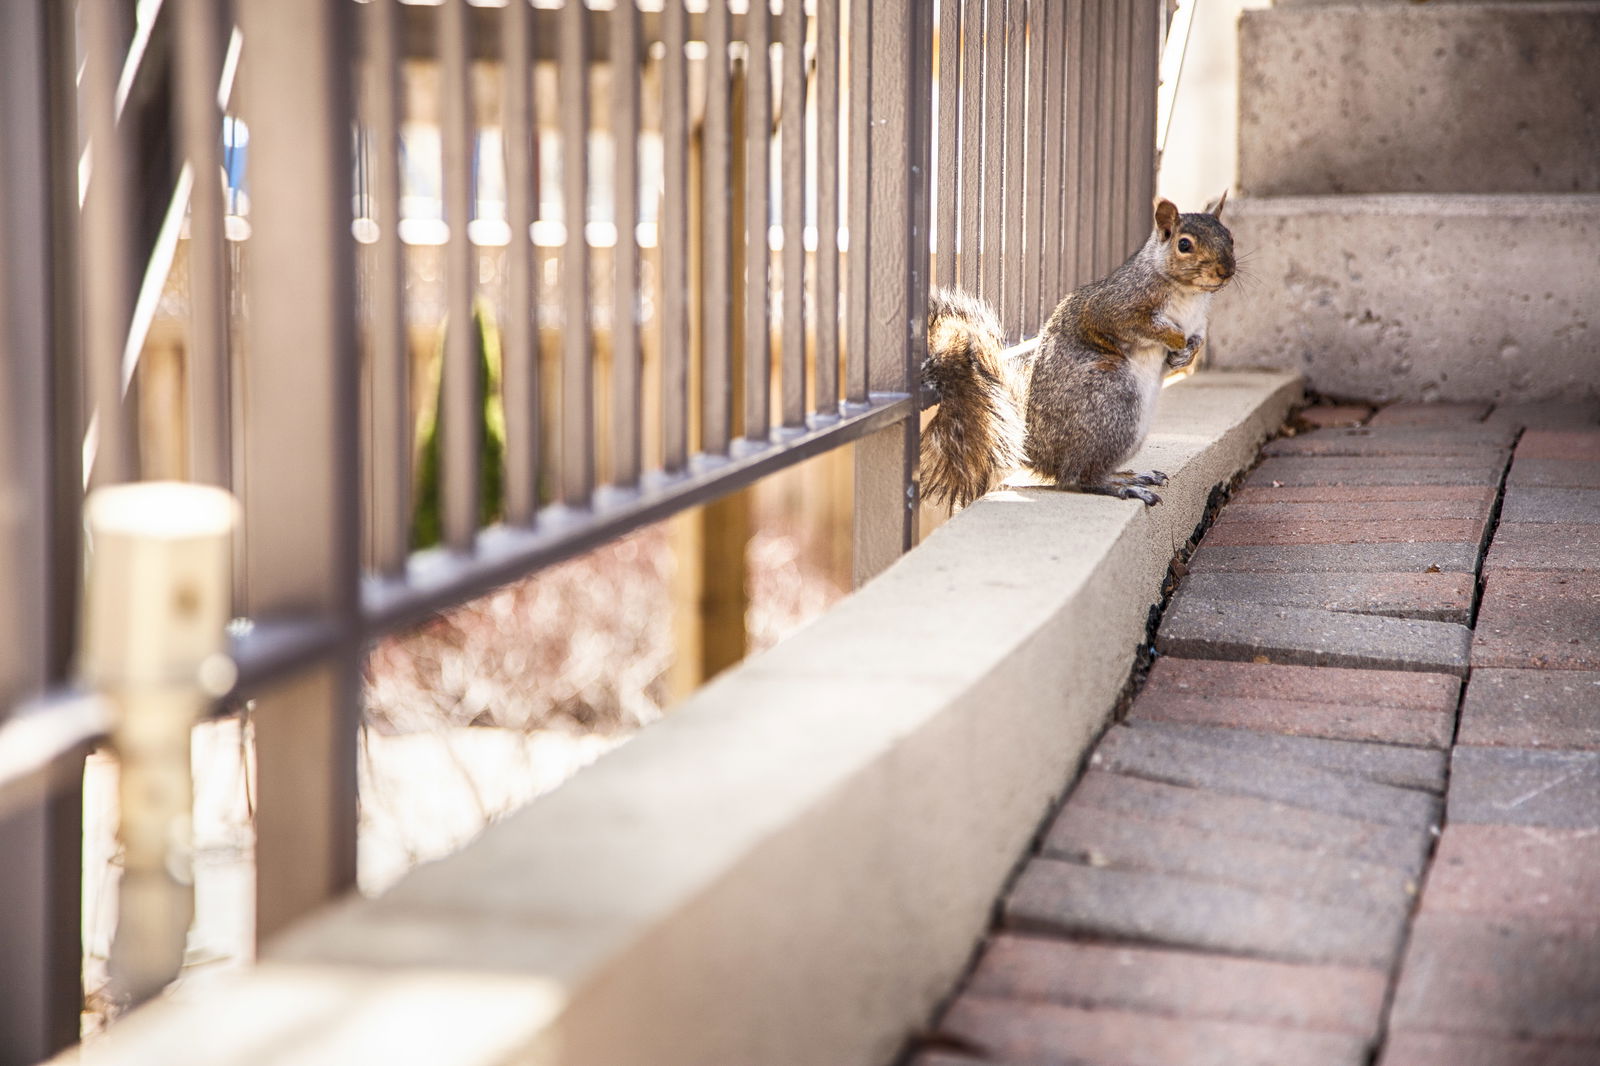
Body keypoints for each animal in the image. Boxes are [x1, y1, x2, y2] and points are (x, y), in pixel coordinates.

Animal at [915, 192, 1235, 508]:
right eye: (1184, 245)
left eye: (1229, 236)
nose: (1226, 271)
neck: (1190, 295)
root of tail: (1036, 453)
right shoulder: (1116, 306)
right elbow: (1137, 325)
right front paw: (1176, 340)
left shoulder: (1197, 323)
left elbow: (1195, 341)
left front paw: (1185, 354)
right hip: (1112, 401)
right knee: (1079, 477)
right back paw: (1121, 487)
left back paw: (1128, 476)